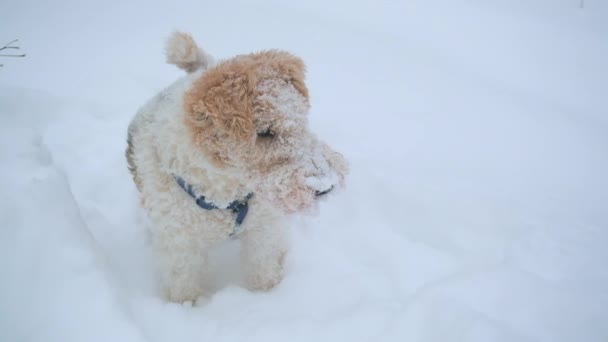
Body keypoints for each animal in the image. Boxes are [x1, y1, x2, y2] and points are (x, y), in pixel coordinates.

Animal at [126, 32, 350, 302]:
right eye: (264, 132)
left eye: (301, 118)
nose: (326, 184)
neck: (224, 192)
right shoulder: (179, 244)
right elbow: (184, 282)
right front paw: (190, 305)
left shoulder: (263, 228)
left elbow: (264, 267)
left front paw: (269, 295)